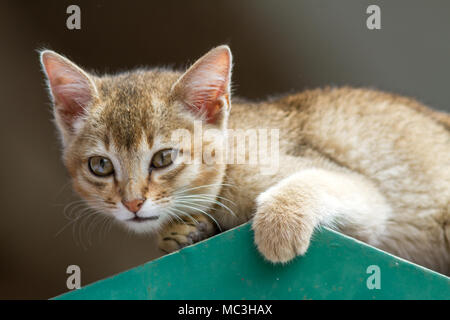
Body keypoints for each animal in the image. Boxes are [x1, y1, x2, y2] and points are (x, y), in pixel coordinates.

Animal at [40, 45, 448, 276]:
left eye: (163, 158)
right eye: (100, 166)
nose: (132, 203)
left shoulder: (364, 194)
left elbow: (320, 181)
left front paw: (279, 224)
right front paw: (181, 232)